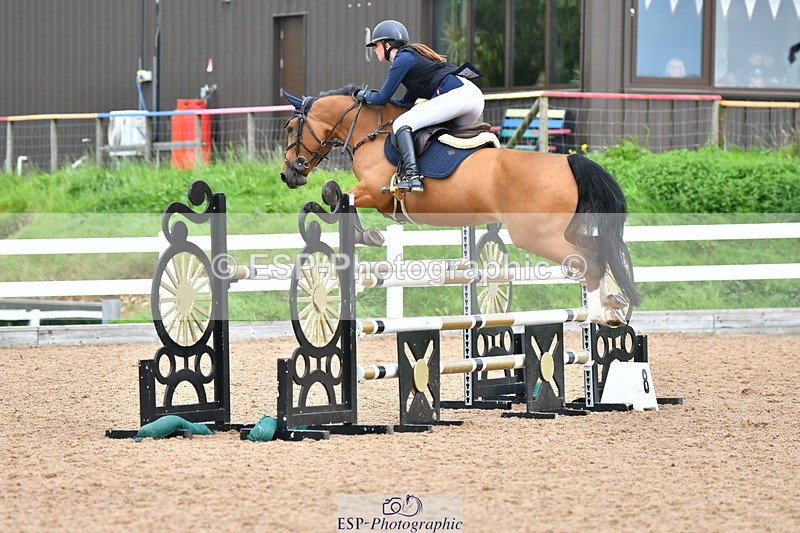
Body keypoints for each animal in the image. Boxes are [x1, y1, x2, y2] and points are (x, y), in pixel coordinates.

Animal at [279, 85, 640, 326]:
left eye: (291, 128)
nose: (288, 174)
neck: (372, 132)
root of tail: (569, 162)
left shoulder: (375, 192)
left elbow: (336, 195)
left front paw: (361, 233)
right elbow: (342, 200)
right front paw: (366, 234)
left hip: (536, 236)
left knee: (589, 259)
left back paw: (598, 312)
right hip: (563, 231)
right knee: (600, 250)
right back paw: (613, 303)